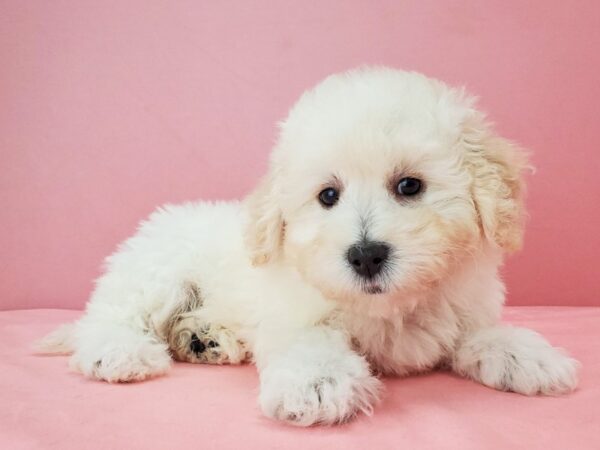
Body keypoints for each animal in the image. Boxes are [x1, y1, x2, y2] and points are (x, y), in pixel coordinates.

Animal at [38, 67, 580, 426]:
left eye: (410, 186)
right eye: (328, 196)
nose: (365, 255)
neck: (390, 308)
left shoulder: (463, 308)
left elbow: (481, 334)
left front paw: (528, 356)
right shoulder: (294, 315)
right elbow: (311, 342)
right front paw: (318, 385)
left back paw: (203, 338)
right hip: (155, 275)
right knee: (110, 319)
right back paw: (122, 353)